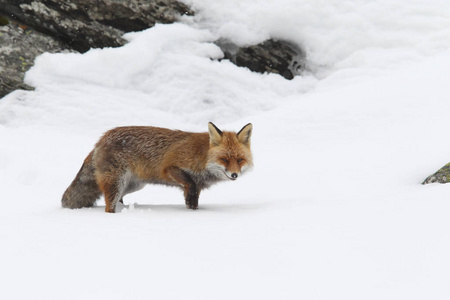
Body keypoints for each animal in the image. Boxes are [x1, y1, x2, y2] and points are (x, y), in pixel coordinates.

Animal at [62, 122, 253, 213]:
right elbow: (189, 185)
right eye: (224, 159)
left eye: (240, 160)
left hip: (131, 186)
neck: (202, 156)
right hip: (116, 183)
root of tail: (102, 138)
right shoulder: (170, 168)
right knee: (109, 206)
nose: (234, 175)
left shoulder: (198, 185)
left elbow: (193, 201)